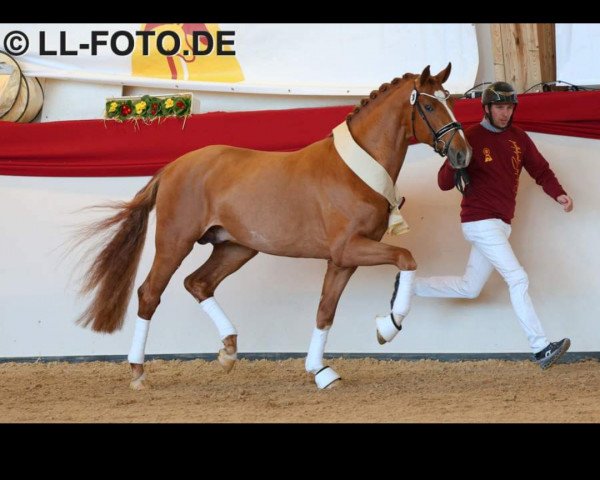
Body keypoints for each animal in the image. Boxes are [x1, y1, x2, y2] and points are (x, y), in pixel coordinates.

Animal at [75, 63, 472, 390]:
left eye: (451, 101)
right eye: (430, 106)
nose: (462, 154)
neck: (355, 171)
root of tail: (172, 167)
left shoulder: (342, 260)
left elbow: (325, 311)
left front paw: (321, 371)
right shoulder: (350, 248)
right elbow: (407, 257)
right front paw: (388, 326)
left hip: (237, 247)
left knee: (198, 283)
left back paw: (228, 351)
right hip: (175, 243)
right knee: (149, 294)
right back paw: (138, 373)